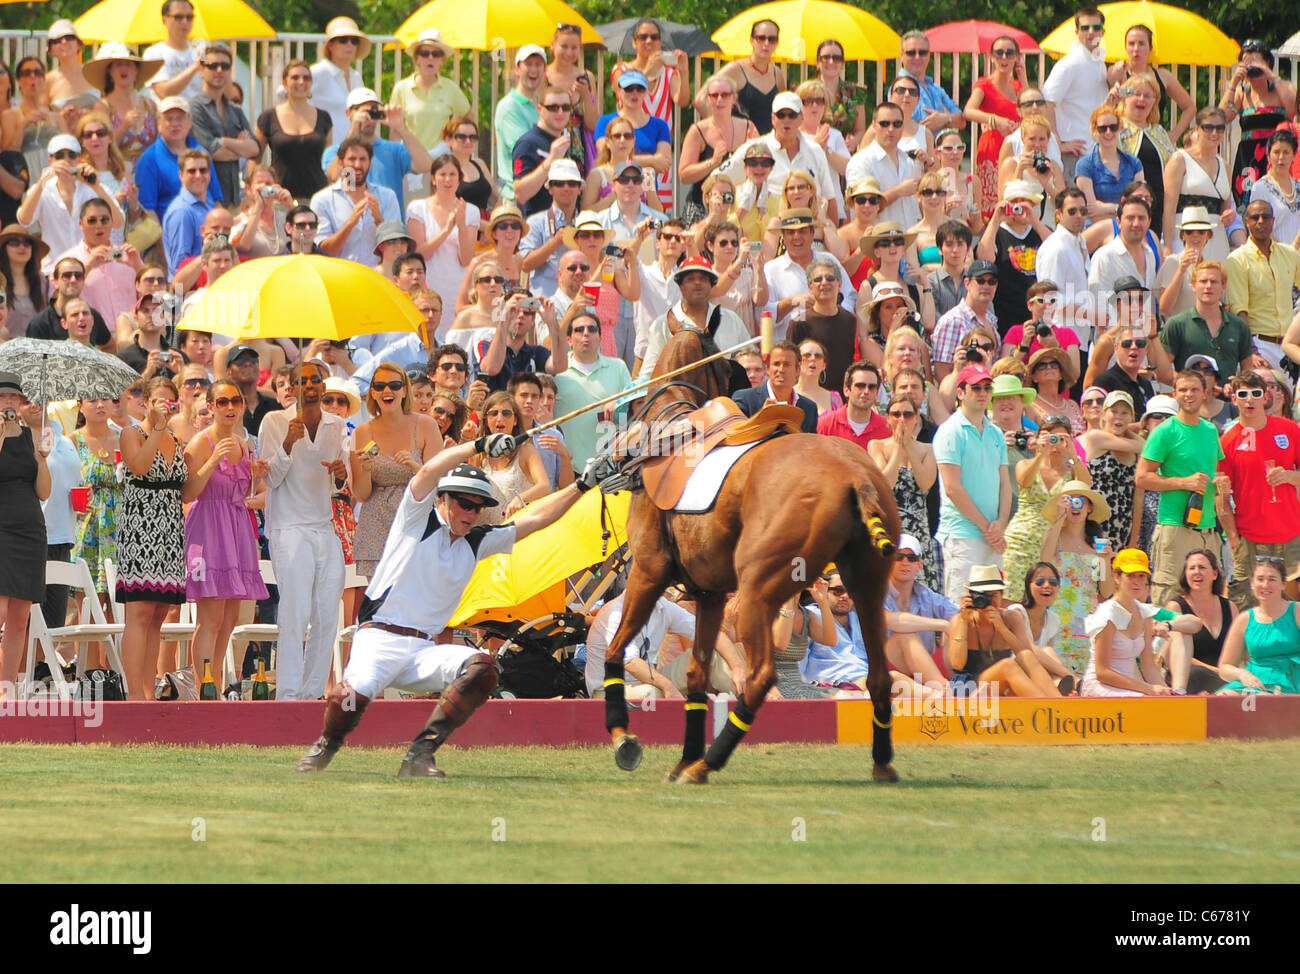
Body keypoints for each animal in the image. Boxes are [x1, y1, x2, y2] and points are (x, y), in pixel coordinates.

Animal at [599, 327, 902, 783]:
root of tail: (855, 477)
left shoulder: (649, 571)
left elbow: (616, 649)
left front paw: (624, 738)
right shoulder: (708, 594)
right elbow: (696, 674)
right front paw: (682, 755)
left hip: (759, 589)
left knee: (760, 677)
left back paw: (707, 763)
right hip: (867, 586)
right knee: (879, 676)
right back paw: (882, 763)